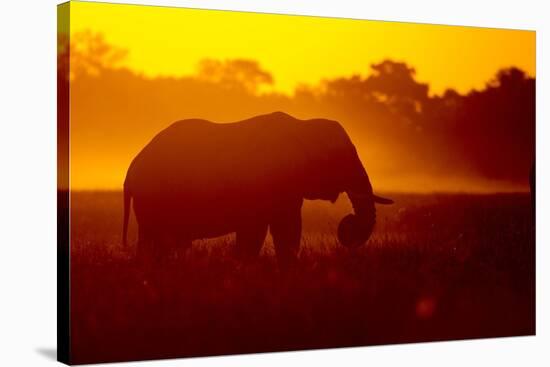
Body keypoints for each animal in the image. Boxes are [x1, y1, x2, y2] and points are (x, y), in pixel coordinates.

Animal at [123, 110, 394, 268]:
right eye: (343, 158)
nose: (347, 227)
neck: (303, 127)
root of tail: (131, 169)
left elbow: (280, 228)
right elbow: (271, 228)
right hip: (154, 199)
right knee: (156, 241)